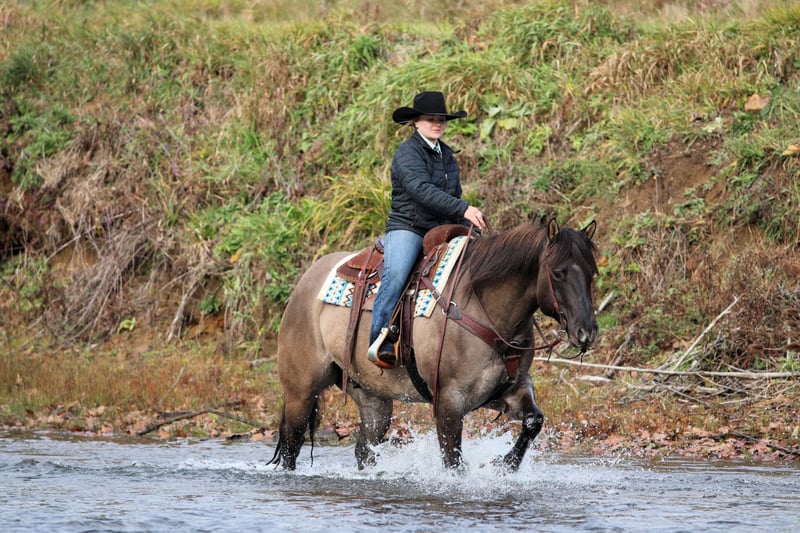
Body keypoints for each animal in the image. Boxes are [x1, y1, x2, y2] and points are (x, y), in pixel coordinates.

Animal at [269, 217, 598, 470]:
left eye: (591, 273)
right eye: (558, 273)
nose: (587, 332)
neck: (483, 307)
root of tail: (305, 282)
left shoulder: (509, 389)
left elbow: (533, 421)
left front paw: (504, 465)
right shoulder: (449, 401)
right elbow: (452, 460)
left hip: (373, 399)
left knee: (364, 450)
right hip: (301, 392)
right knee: (291, 445)